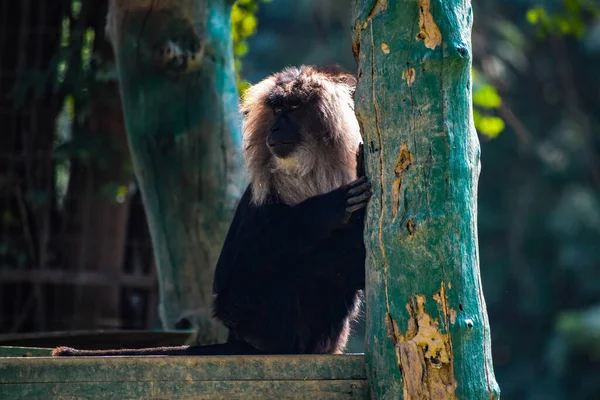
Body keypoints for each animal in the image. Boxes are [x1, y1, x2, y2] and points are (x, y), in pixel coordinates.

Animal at [52, 64, 370, 358]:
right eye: (277, 109)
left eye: (292, 108)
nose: (275, 128)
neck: (304, 173)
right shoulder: (259, 198)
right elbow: (239, 264)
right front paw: (329, 207)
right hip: (251, 313)